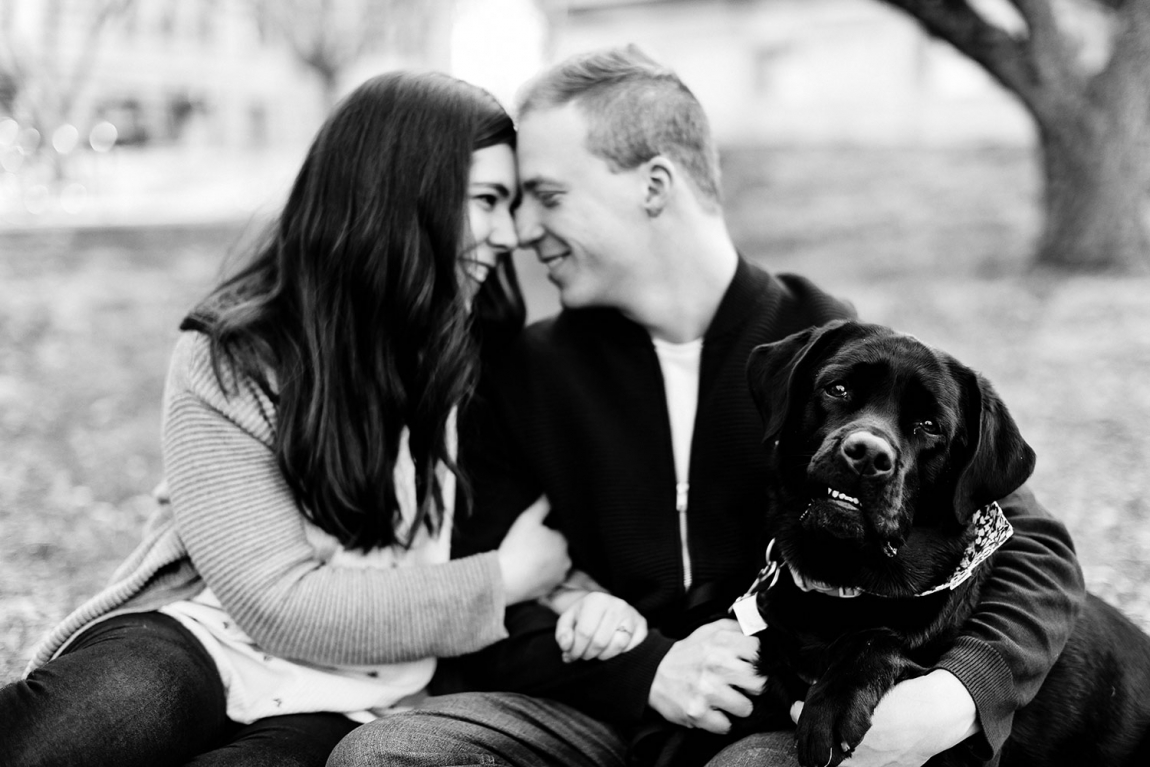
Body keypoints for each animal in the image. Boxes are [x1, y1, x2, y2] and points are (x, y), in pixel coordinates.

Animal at [737, 319, 1150, 767]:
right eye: (839, 389)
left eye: (930, 426)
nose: (867, 454)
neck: (846, 582)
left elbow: (877, 637)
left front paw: (832, 703)